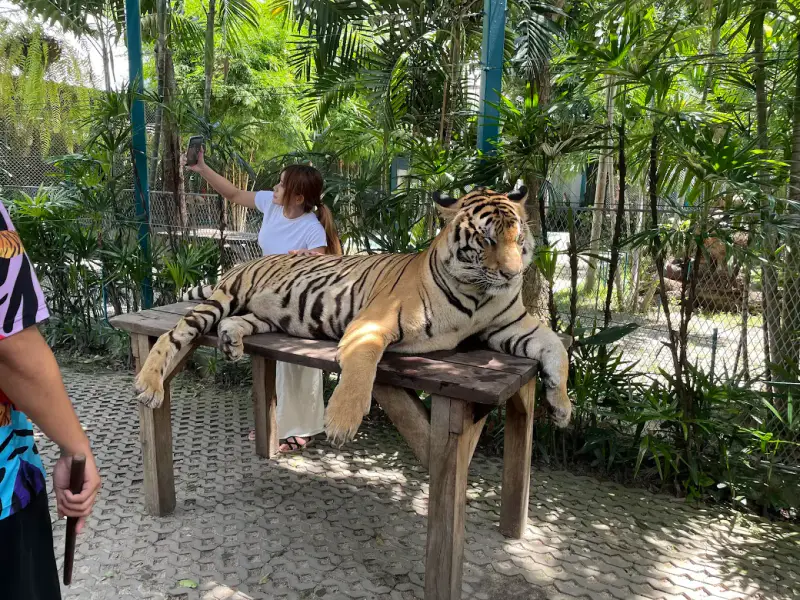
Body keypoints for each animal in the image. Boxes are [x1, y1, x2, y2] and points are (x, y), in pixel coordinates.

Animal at [133, 186, 571, 445]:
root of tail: (246, 261)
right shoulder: (372, 323)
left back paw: (231, 342)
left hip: (266, 316)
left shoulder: (511, 324)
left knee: (233, 323)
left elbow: (557, 348)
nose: (513, 274)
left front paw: (561, 406)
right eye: (486, 239)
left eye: (518, 236)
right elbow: (363, 364)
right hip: (224, 298)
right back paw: (148, 385)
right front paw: (342, 421)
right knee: (175, 334)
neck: (478, 294)